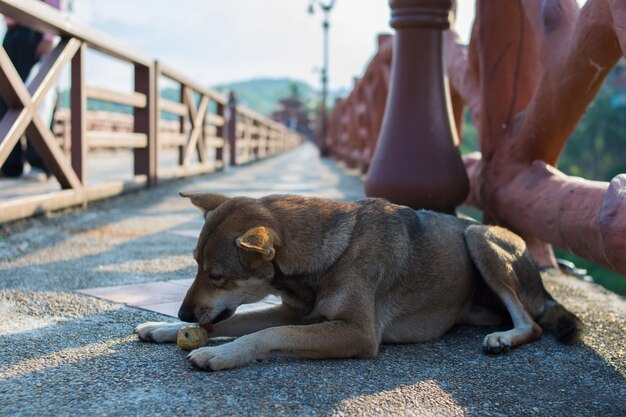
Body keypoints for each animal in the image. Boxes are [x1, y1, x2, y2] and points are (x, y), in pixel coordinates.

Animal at [134, 192, 576, 370]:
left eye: (217, 276)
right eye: (194, 265)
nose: (182, 311)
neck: (328, 250)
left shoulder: (357, 332)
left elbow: (270, 334)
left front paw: (221, 354)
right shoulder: (295, 310)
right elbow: (241, 323)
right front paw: (164, 327)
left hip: (479, 239)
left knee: (532, 324)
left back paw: (505, 338)